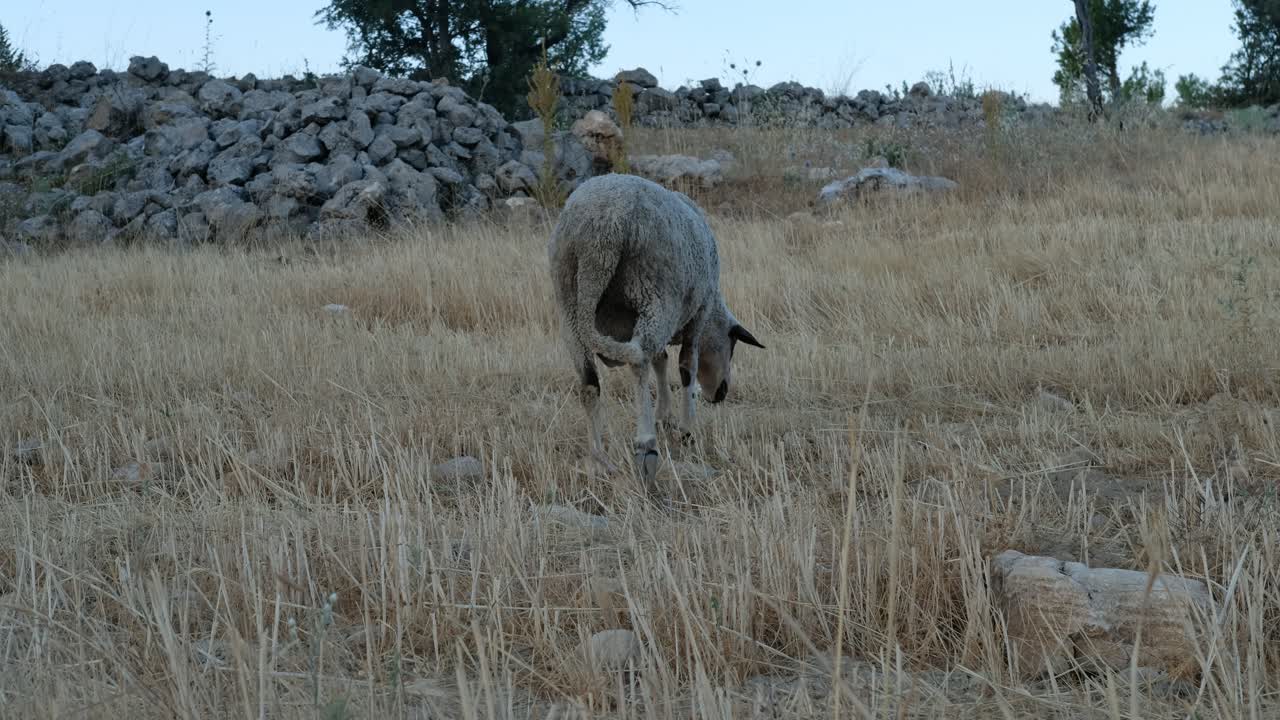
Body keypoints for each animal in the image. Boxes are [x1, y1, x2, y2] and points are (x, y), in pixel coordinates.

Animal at [547, 173, 764, 496]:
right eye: (733, 343)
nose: (721, 393)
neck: (714, 307)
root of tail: (598, 231)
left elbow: (661, 360)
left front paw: (665, 415)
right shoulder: (698, 313)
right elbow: (687, 366)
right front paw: (686, 429)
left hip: (569, 302)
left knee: (589, 382)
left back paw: (598, 459)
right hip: (654, 292)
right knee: (639, 362)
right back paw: (646, 448)